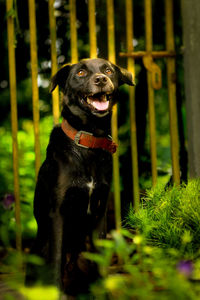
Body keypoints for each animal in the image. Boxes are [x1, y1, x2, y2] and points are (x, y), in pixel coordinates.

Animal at [27, 58, 134, 296]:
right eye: (81, 73)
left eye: (108, 70)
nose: (101, 80)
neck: (88, 142)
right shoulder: (57, 213)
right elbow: (56, 259)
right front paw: (57, 293)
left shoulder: (100, 213)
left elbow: (101, 260)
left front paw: (103, 292)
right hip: (40, 249)